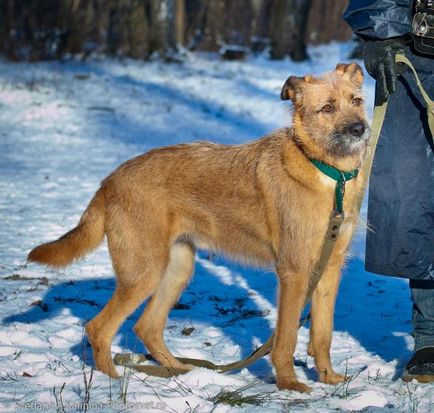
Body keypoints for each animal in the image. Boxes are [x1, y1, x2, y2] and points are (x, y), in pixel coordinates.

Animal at [28, 62, 366, 392]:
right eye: (327, 108)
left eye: (357, 101)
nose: (359, 129)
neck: (327, 171)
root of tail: (109, 181)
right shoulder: (293, 271)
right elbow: (286, 337)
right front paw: (289, 385)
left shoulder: (330, 267)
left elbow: (323, 334)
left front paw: (328, 378)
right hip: (145, 272)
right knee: (99, 327)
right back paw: (111, 380)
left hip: (176, 268)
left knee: (146, 326)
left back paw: (177, 371)